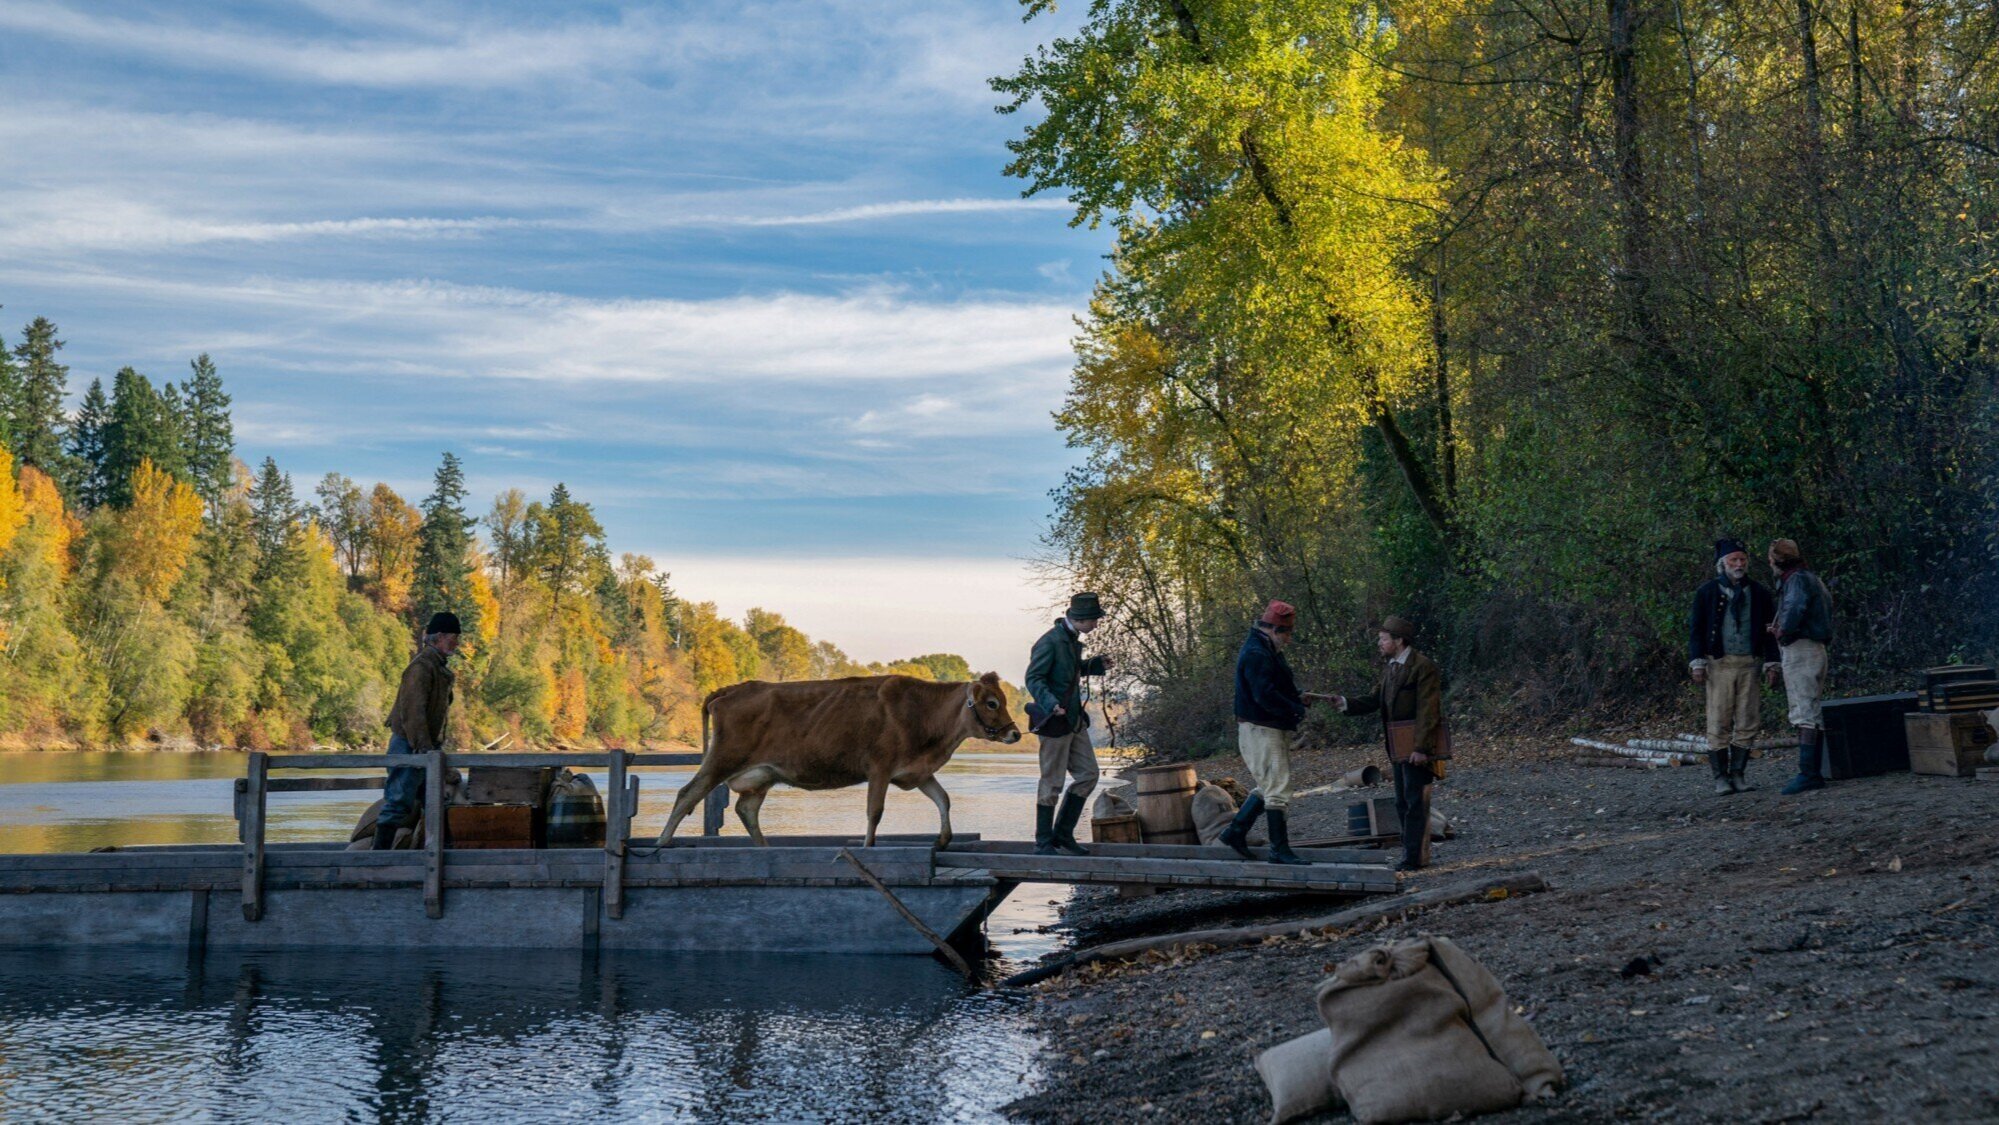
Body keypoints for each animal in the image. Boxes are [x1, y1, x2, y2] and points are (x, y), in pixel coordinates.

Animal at [655, 672, 1022, 848]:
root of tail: (732, 689)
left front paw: (944, 839)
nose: (1016, 733)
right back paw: (661, 843)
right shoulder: (880, 767)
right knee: (687, 793)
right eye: (991, 703)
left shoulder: (915, 772)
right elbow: (875, 812)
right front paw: (867, 846)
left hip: (761, 775)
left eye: (1002, 700)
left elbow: (943, 800)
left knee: (747, 810)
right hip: (722, 758)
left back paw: (765, 847)